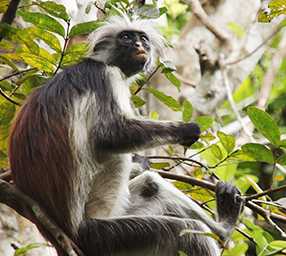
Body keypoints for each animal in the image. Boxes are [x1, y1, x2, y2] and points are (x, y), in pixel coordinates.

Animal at [7, 16, 242, 256]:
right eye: (126, 37)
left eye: (143, 39)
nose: (139, 45)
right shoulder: (106, 76)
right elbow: (110, 135)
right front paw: (185, 130)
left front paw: (141, 162)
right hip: (103, 234)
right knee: (186, 228)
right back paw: (223, 230)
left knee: (151, 185)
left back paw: (222, 228)